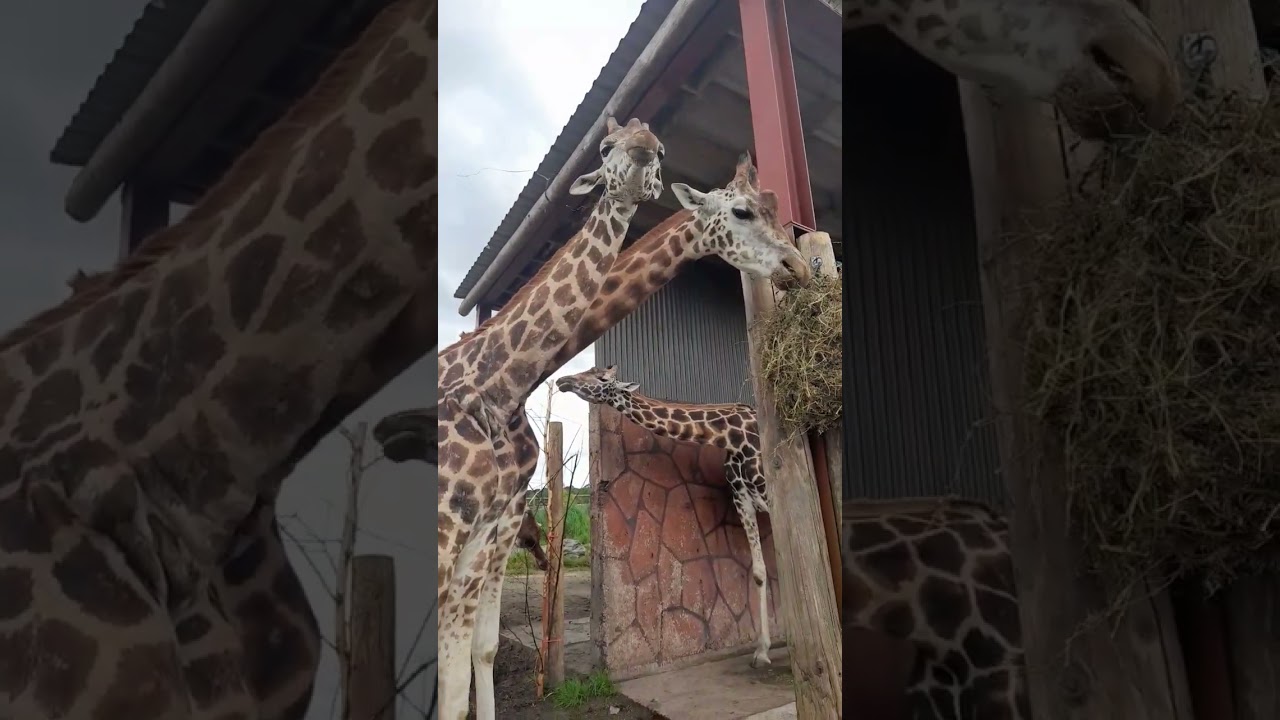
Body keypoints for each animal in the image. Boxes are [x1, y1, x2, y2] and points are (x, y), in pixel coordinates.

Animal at [554, 365, 777, 668]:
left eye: (602, 378)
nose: (562, 380)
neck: (730, 437)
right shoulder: (743, 500)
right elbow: (760, 571)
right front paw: (762, 651)